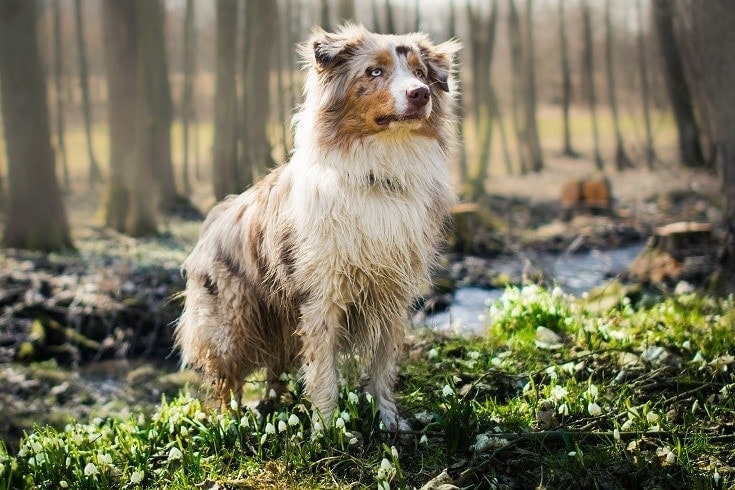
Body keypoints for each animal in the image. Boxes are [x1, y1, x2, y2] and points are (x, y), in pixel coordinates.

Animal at [175, 23, 460, 430]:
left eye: (420, 73)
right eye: (374, 72)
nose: (419, 93)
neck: (378, 174)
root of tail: (213, 219)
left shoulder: (393, 295)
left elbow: (383, 366)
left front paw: (388, 421)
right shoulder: (322, 296)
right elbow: (324, 372)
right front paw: (327, 429)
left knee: (275, 370)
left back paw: (274, 408)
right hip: (231, 323)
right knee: (226, 382)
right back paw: (229, 424)